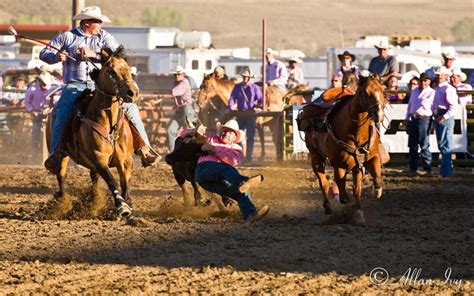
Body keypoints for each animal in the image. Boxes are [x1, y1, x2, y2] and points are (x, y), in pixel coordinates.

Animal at [46, 47, 139, 219]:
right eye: (111, 71)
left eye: (129, 70)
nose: (133, 93)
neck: (110, 125)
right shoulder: (99, 158)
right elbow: (112, 180)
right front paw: (122, 206)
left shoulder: (126, 160)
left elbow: (125, 183)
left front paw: (128, 205)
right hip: (62, 155)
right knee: (61, 175)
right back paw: (62, 201)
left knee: (94, 178)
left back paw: (93, 199)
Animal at [304, 74, 386, 224]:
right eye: (364, 92)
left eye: (382, 90)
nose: (379, 114)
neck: (355, 133)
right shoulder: (338, 164)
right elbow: (341, 185)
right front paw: (344, 201)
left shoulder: (371, 158)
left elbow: (368, 183)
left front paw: (361, 210)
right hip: (316, 156)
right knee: (323, 183)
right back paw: (328, 207)